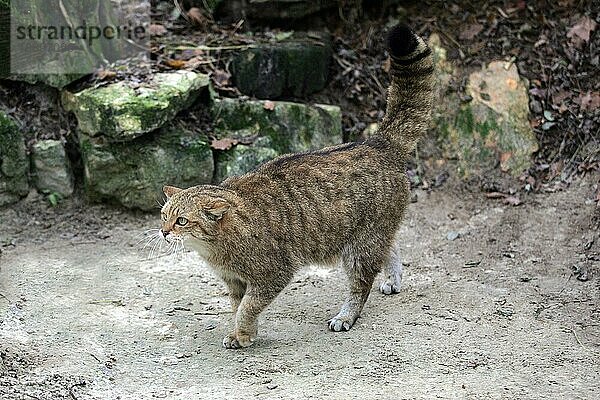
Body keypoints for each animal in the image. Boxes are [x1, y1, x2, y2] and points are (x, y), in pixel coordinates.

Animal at [158, 25, 432, 348]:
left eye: (181, 221)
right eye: (163, 217)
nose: (164, 232)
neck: (217, 248)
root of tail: (376, 144)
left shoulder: (272, 275)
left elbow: (248, 307)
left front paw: (244, 334)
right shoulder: (235, 282)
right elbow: (238, 307)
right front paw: (241, 333)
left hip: (360, 247)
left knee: (361, 286)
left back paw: (347, 316)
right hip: (371, 237)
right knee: (392, 248)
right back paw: (392, 279)